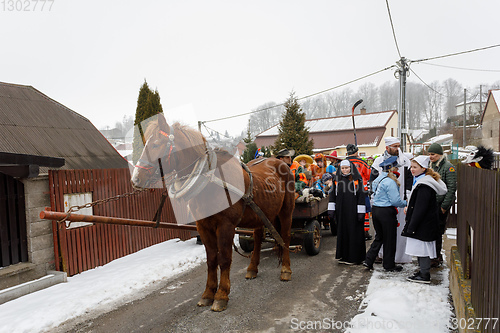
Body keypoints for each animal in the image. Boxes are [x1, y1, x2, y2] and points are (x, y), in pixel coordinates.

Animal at [131, 113, 294, 310]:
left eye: (156, 144)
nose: (136, 179)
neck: (210, 181)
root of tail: (279, 162)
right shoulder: (203, 226)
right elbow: (211, 260)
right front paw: (208, 293)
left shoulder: (226, 226)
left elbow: (223, 259)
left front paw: (221, 295)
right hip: (260, 215)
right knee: (257, 238)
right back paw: (252, 269)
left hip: (286, 211)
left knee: (285, 237)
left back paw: (286, 270)